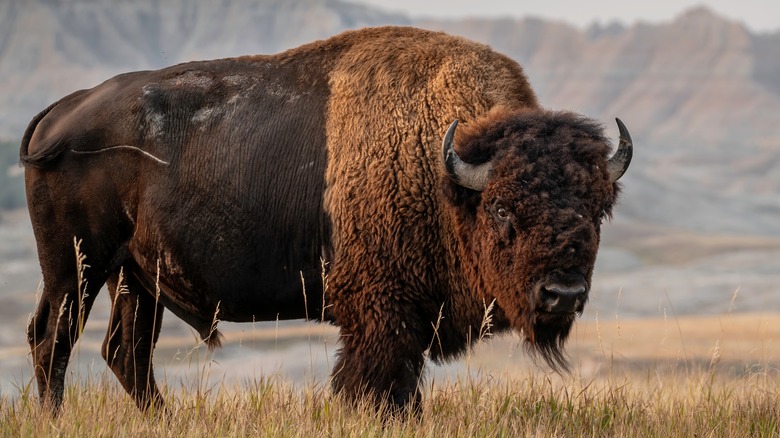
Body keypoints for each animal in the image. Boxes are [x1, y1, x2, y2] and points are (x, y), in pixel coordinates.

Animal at [21, 26, 632, 413]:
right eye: (502, 208)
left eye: (597, 209)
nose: (562, 294)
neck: (443, 169)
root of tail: (61, 111)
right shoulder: (382, 318)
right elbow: (379, 387)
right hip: (76, 267)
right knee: (54, 338)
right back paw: (55, 420)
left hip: (135, 277)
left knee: (126, 352)